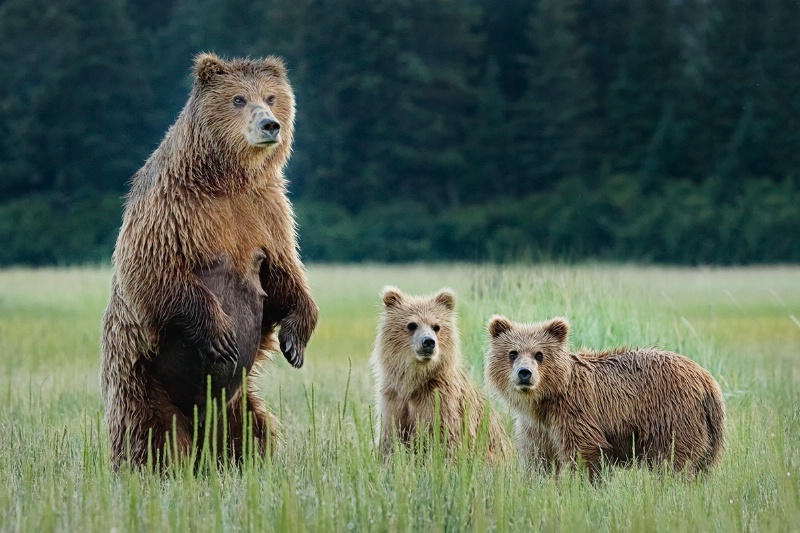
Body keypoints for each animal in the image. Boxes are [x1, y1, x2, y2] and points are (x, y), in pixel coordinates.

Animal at [102, 53, 318, 470]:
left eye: (271, 97)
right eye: (238, 99)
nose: (270, 124)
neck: (228, 178)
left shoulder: (267, 213)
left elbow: (285, 274)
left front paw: (294, 343)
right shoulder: (174, 209)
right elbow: (154, 270)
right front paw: (220, 333)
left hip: (235, 403)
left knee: (253, 430)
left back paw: (243, 463)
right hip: (141, 381)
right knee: (149, 433)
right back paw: (156, 467)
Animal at [370, 286, 510, 462]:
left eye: (436, 326)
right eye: (412, 325)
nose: (428, 342)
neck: (414, 382)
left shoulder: (441, 402)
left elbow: (447, 442)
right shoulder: (394, 401)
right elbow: (390, 440)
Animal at [484, 314, 728, 480]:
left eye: (539, 354)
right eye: (512, 353)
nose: (525, 373)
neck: (544, 400)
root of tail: (708, 380)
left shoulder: (575, 411)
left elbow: (584, 452)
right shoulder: (536, 427)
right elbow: (538, 459)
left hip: (673, 416)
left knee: (673, 461)